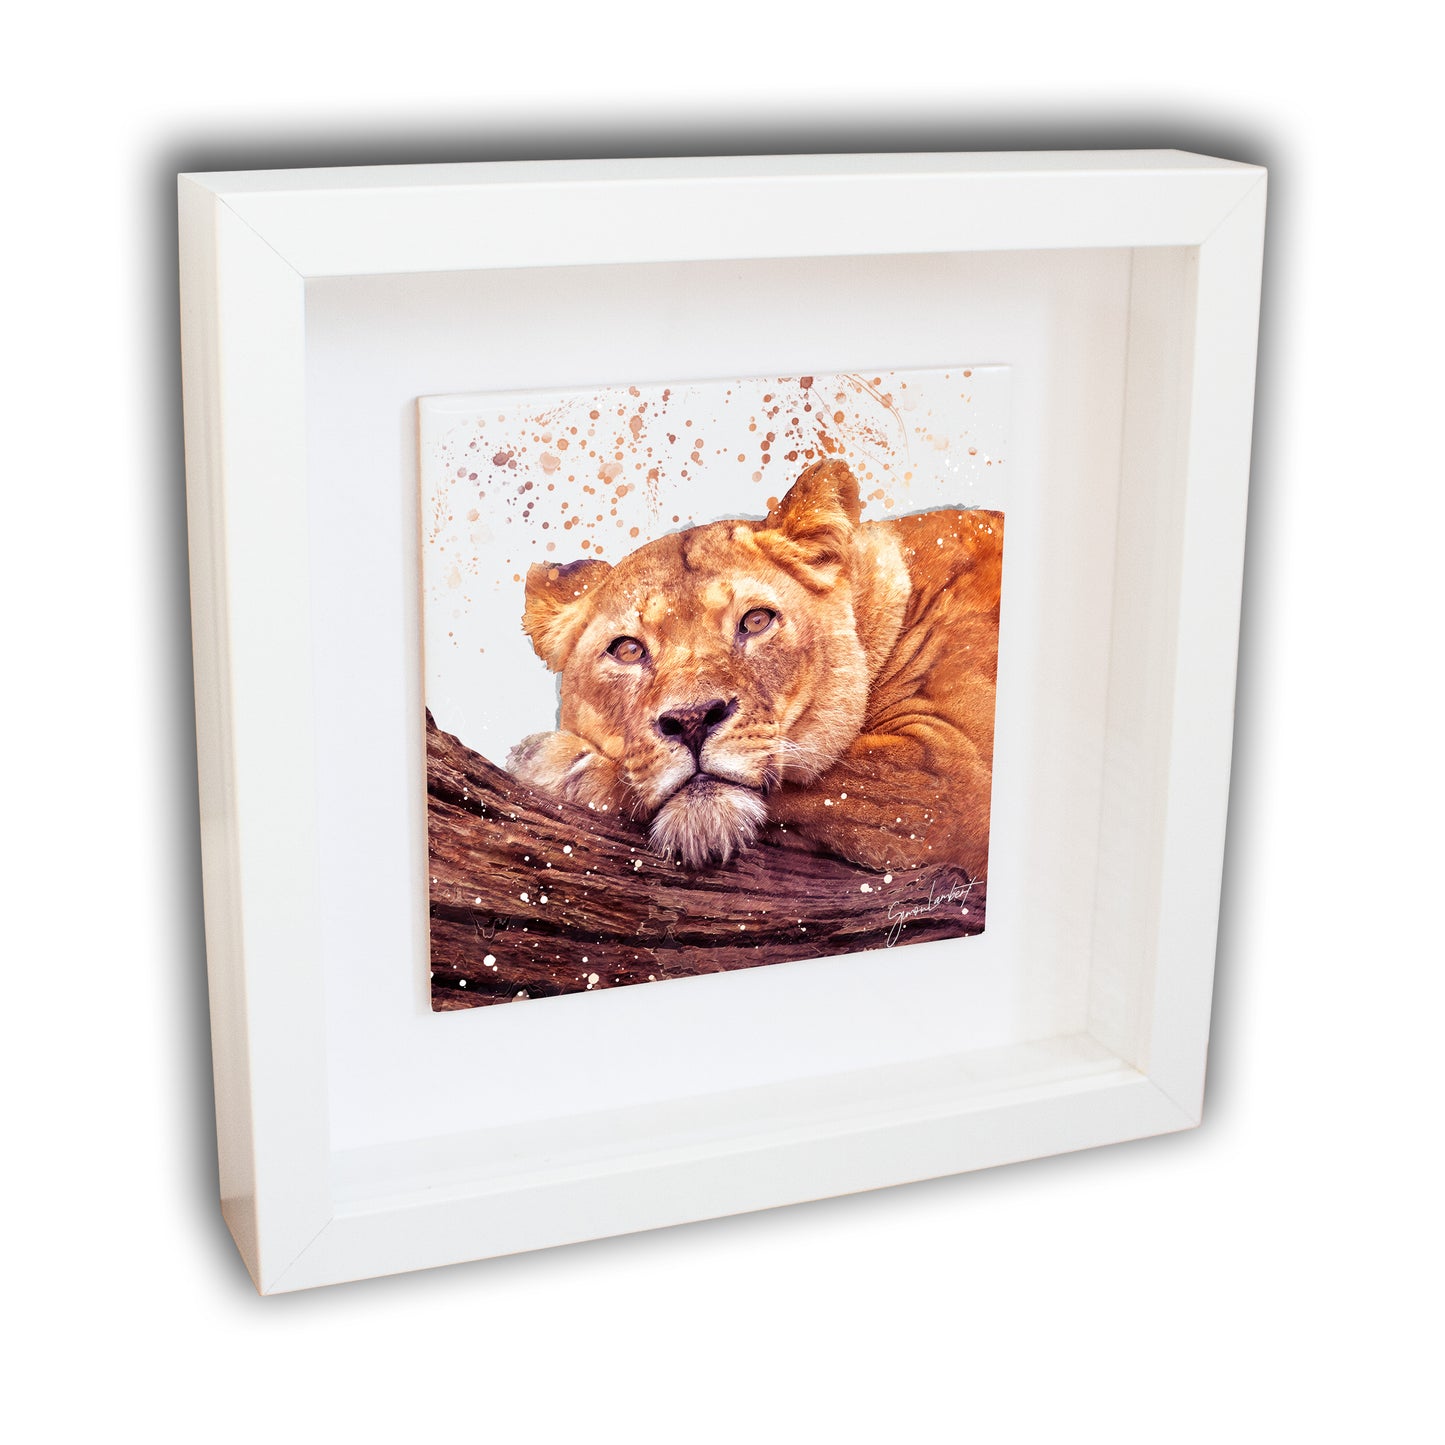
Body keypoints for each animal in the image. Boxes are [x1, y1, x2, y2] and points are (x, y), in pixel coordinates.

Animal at [506, 459, 1002, 881]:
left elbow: (818, 778)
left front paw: (557, 764)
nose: (691, 721)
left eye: (756, 621)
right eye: (627, 650)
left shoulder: (951, 773)